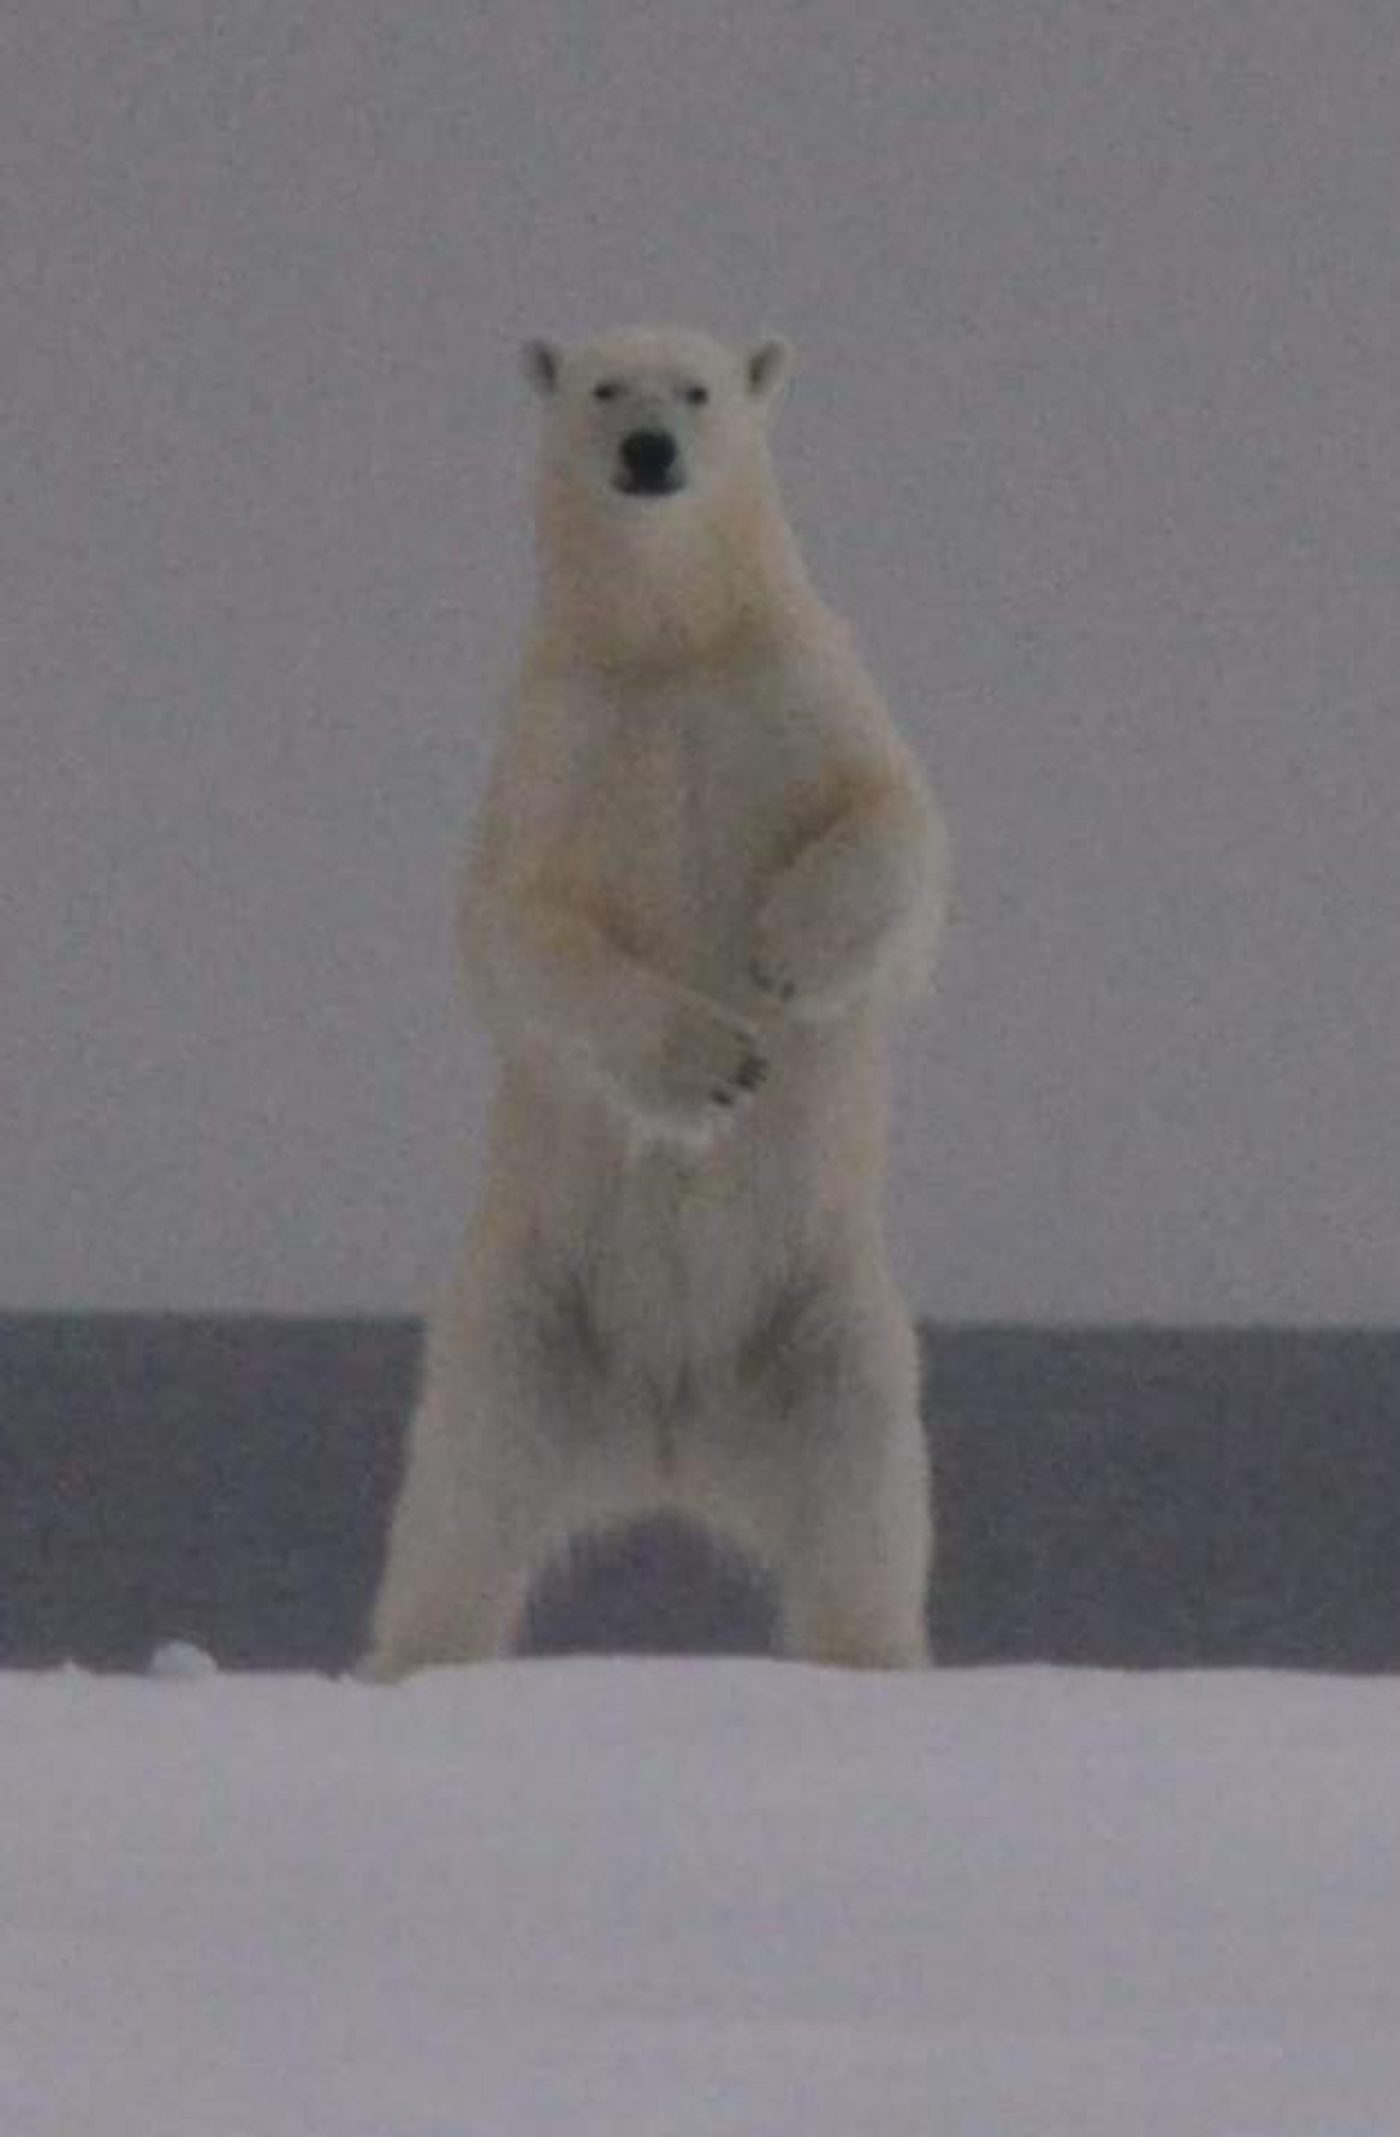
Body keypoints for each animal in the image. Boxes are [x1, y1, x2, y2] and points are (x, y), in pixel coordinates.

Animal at [361, 325, 950, 1676]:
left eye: (697, 388)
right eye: (599, 386)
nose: (647, 451)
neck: (670, 643)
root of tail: (669, 1437)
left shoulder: (799, 686)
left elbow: (895, 827)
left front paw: (785, 954)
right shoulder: (557, 742)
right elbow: (519, 934)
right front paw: (714, 1064)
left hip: (825, 1336)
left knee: (862, 1524)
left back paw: (877, 1661)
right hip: (518, 1334)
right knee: (455, 1526)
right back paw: (410, 1666)